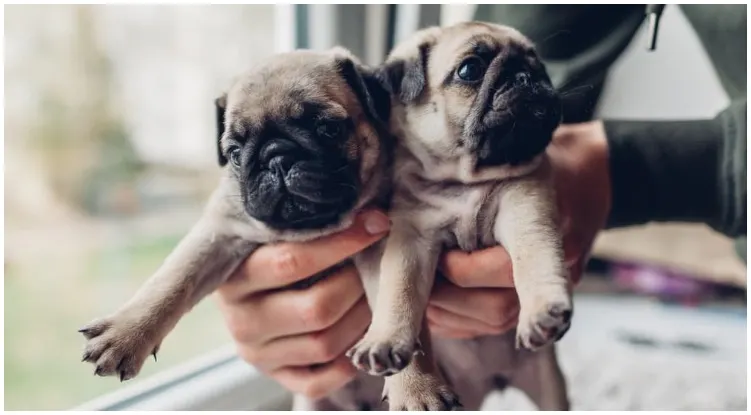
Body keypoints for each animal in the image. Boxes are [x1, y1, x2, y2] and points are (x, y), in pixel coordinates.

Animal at [77, 48, 396, 386]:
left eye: (329, 129)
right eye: (234, 153)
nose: (276, 157)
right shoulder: (219, 235)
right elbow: (173, 280)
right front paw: (126, 334)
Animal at [342, 21, 576, 412]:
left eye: (540, 65)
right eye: (470, 70)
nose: (527, 76)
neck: (464, 181)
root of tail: (494, 380)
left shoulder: (525, 209)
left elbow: (533, 260)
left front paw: (542, 309)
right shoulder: (410, 242)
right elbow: (399, 290)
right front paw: (386, 340)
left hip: (550, 390)